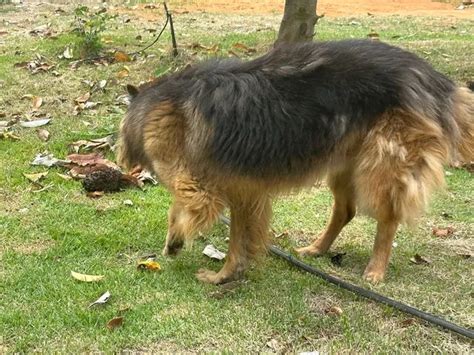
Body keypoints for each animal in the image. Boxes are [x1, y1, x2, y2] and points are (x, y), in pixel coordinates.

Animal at [117, 39, 470, 284]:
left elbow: (186, 209)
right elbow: (234, 237)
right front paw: (220, 268)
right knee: (345, 210)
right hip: (343, 164)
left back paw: (375, 269)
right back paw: (317, 249)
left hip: (381, 168)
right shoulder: (242, 192)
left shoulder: (202, 188)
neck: (157, 106)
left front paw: (212, 269)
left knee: (388, 218)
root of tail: (431, 77)